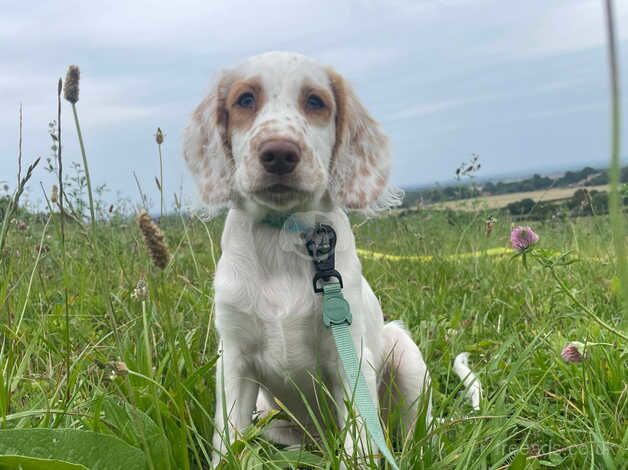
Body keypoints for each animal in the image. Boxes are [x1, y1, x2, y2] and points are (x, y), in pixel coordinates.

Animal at [184, 50, 434, 466]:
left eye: (315, 102)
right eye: (245, 100)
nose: (279, 153)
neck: (284, 235)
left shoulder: (350, 358)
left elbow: (360, 444)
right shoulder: (234, 361)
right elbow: (227, 441)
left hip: (406, 355)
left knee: (418, 431)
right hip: (271, 419)